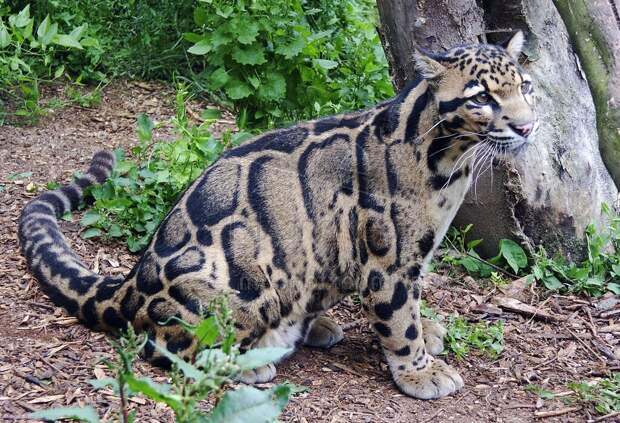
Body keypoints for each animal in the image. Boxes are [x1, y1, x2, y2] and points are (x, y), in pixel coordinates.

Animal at [18, 31, 532, 400]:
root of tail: (129, 283)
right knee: (165, 346)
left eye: (525, 87)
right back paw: (246, 361)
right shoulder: (388, 260)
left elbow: (415, 304)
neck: (451, 164)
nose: (528, 126)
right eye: (481, 97)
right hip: (243, 288)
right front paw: (419, 370)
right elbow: (399, 317)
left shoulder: (414, 258)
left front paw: (428, 333)